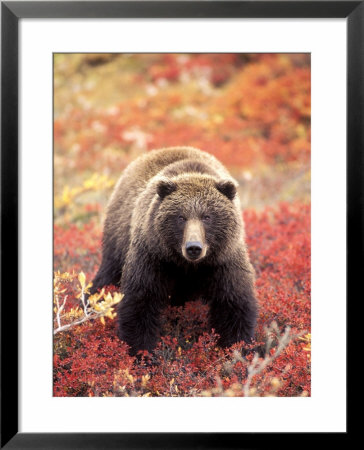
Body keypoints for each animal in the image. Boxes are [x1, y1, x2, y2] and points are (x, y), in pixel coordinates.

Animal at [90, 148, 256, 356]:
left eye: (207, 216)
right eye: (181, 217)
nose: (194, 247)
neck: (188, 265)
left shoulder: (224, 261)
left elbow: (234, 304)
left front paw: (238, 349)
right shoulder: (153, 256)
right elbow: (140, 301)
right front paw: (142, 352)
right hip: (118, 238)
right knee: (107, 275)